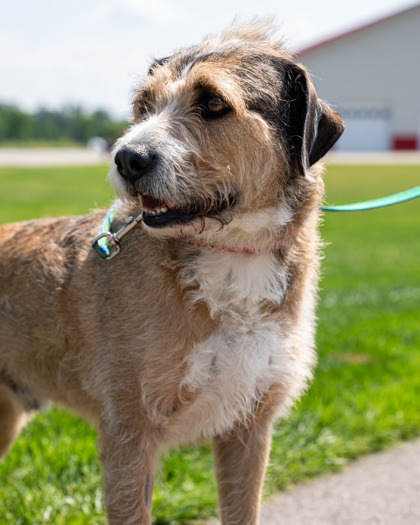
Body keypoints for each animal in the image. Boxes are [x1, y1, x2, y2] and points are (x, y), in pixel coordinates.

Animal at [0, 20, 342, 524]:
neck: (234, 255)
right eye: (143, 106)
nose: (127, 158)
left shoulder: (249, 428)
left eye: (214, 102)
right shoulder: (128, 433)